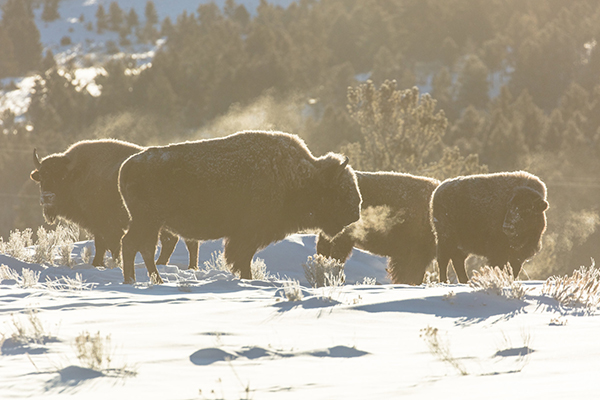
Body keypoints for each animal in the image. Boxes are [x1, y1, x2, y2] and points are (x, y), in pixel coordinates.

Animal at [29, 140, 199, 268]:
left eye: (61, 177)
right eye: (42, 178)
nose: (47, 197)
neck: (79, 175)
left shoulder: (107, 225)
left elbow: (111, 245)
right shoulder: (97, 226)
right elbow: (101, 245)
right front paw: (98, 264)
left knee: (183, 242)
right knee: (179, 241)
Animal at [117, 130, 360, 282]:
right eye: (340, 191)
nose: (355, 213)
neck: (297, 176)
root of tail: (127, 165)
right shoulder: (247, 235)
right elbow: (243, 260)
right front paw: (248, 279)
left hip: (150, 223)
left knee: (141, 247)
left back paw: (146, 280)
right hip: (148, 221)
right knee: (134, 245)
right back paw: (142, 280)